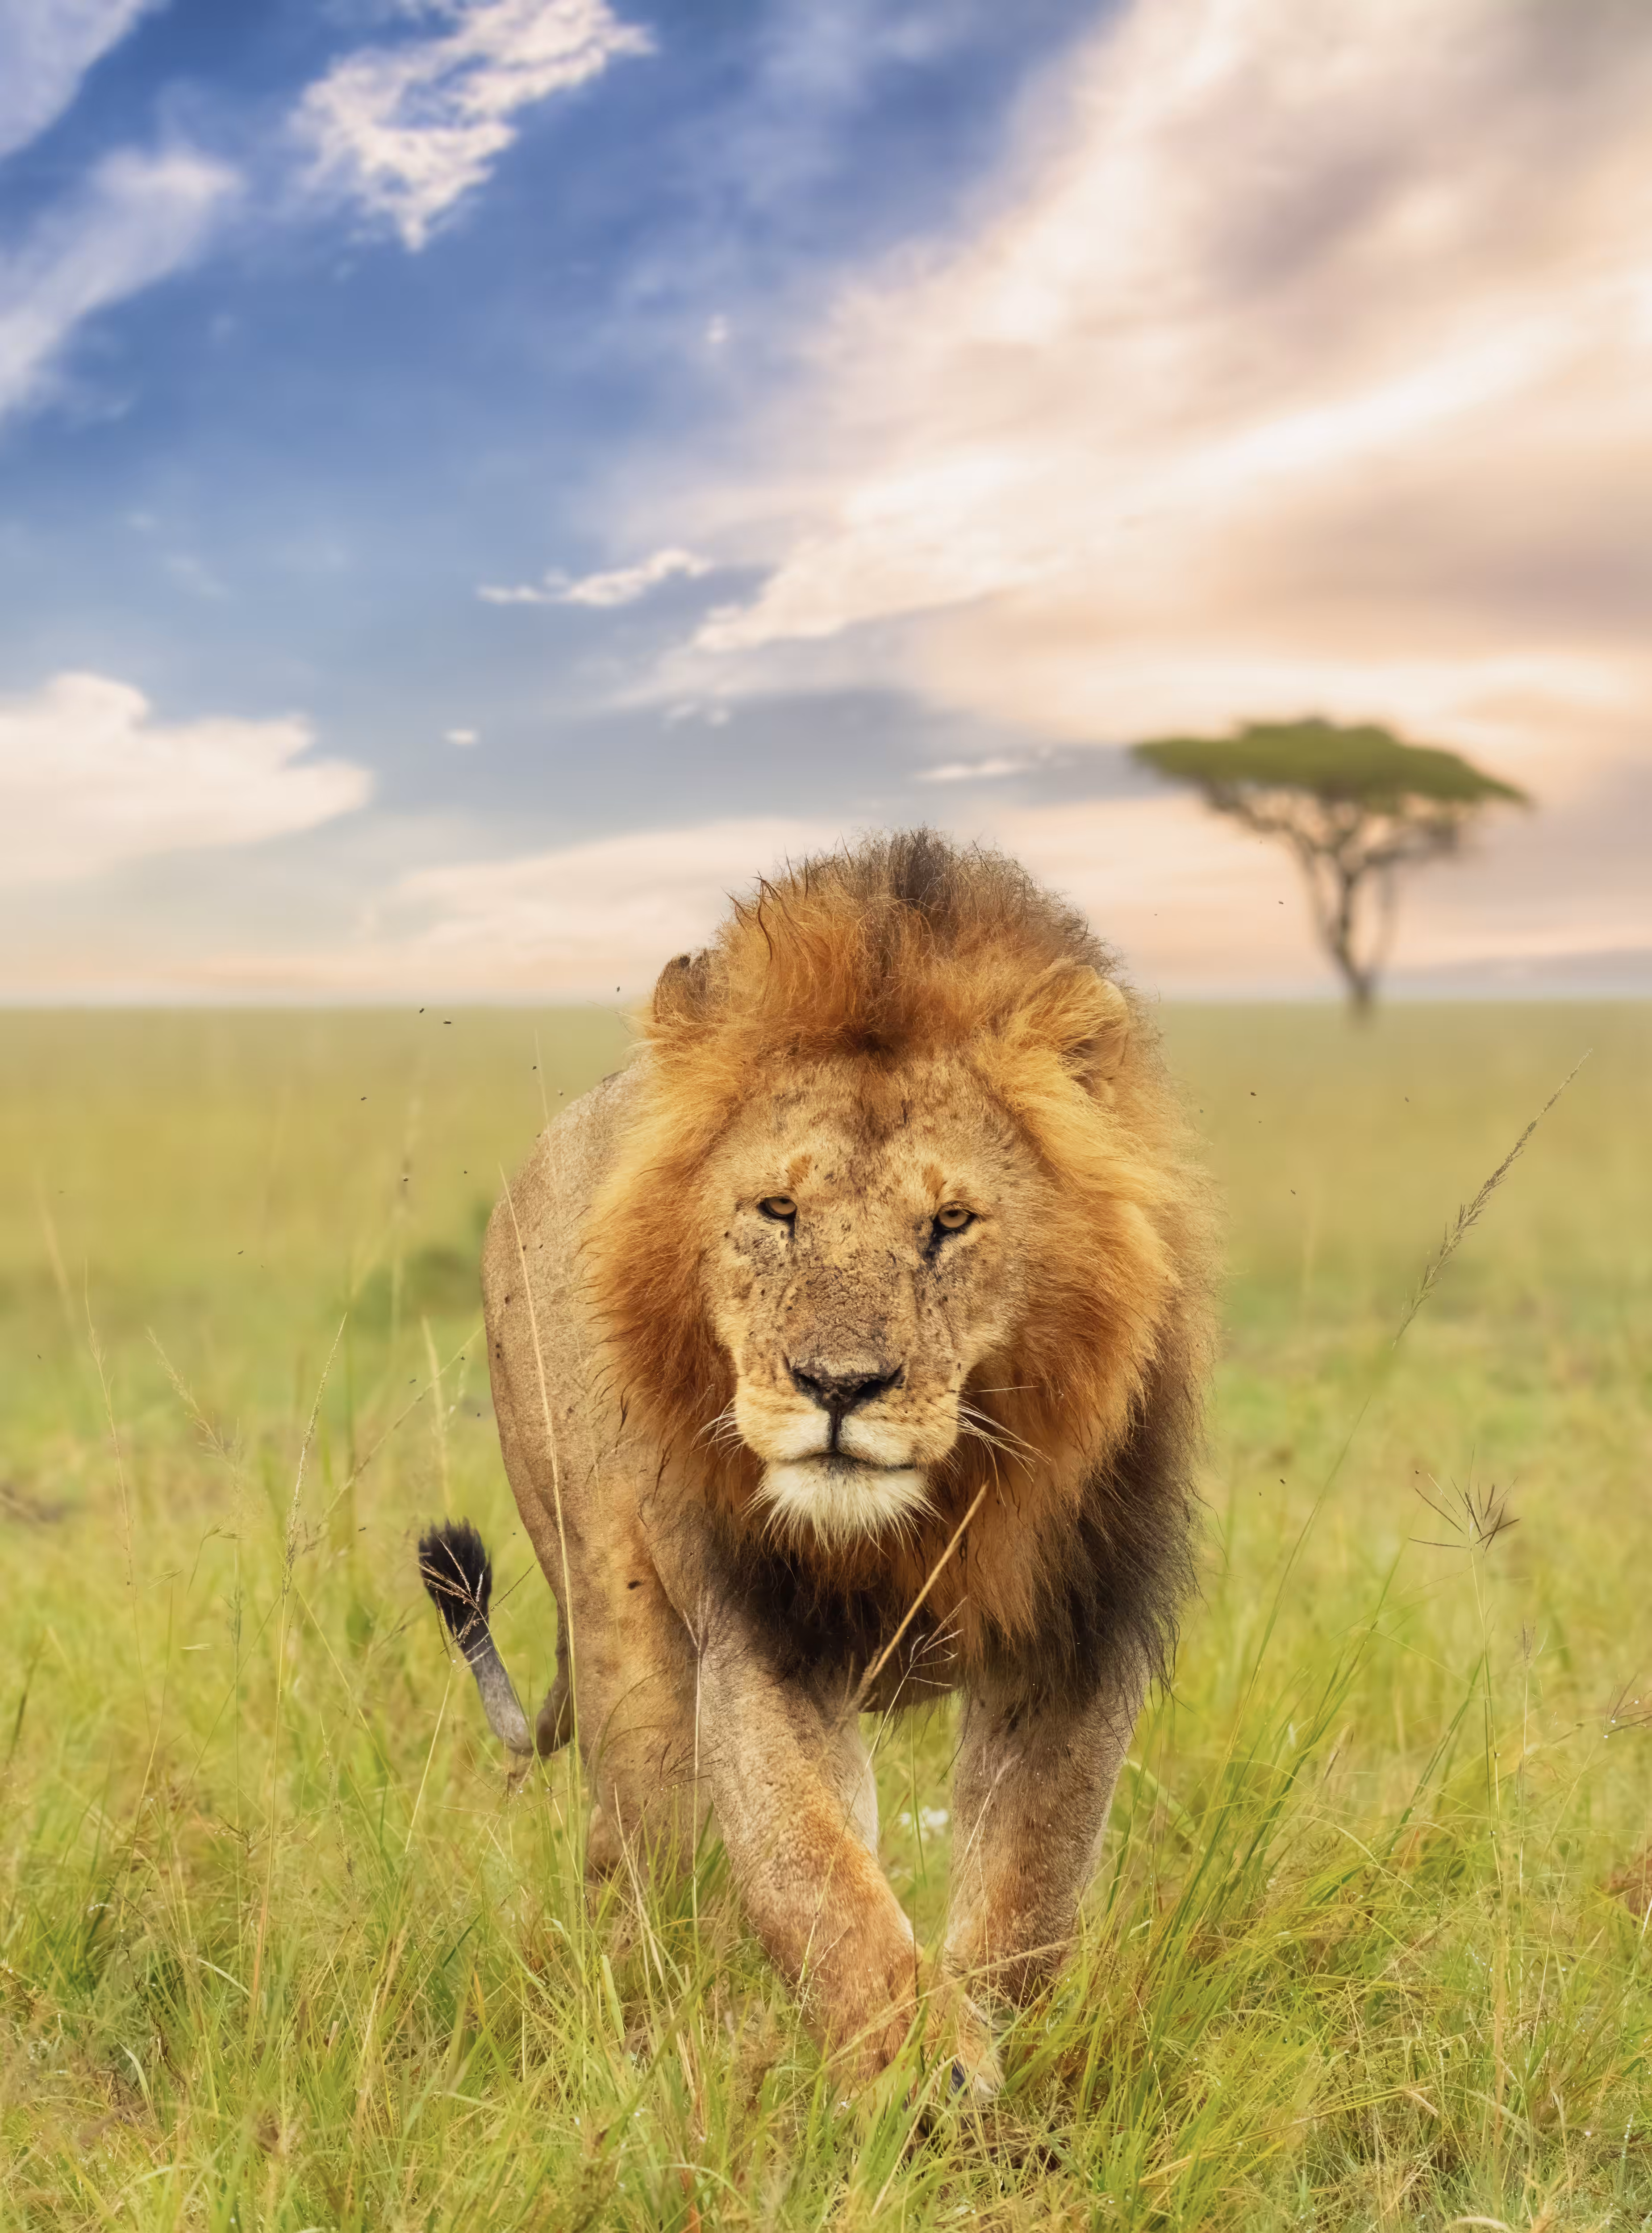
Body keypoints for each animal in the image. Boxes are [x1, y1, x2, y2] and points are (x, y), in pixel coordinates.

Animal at [420, 830, 1216, 2092]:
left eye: (950, 1222)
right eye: (776, 1209)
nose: (838, 1387)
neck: (926, 1517)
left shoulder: (1079, 1639)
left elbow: (1030, 1893)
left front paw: (985, 2047)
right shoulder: (760, 1633)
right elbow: (817, 1875)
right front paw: (916, 2067)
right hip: (617, 1623)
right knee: (635, 1858)